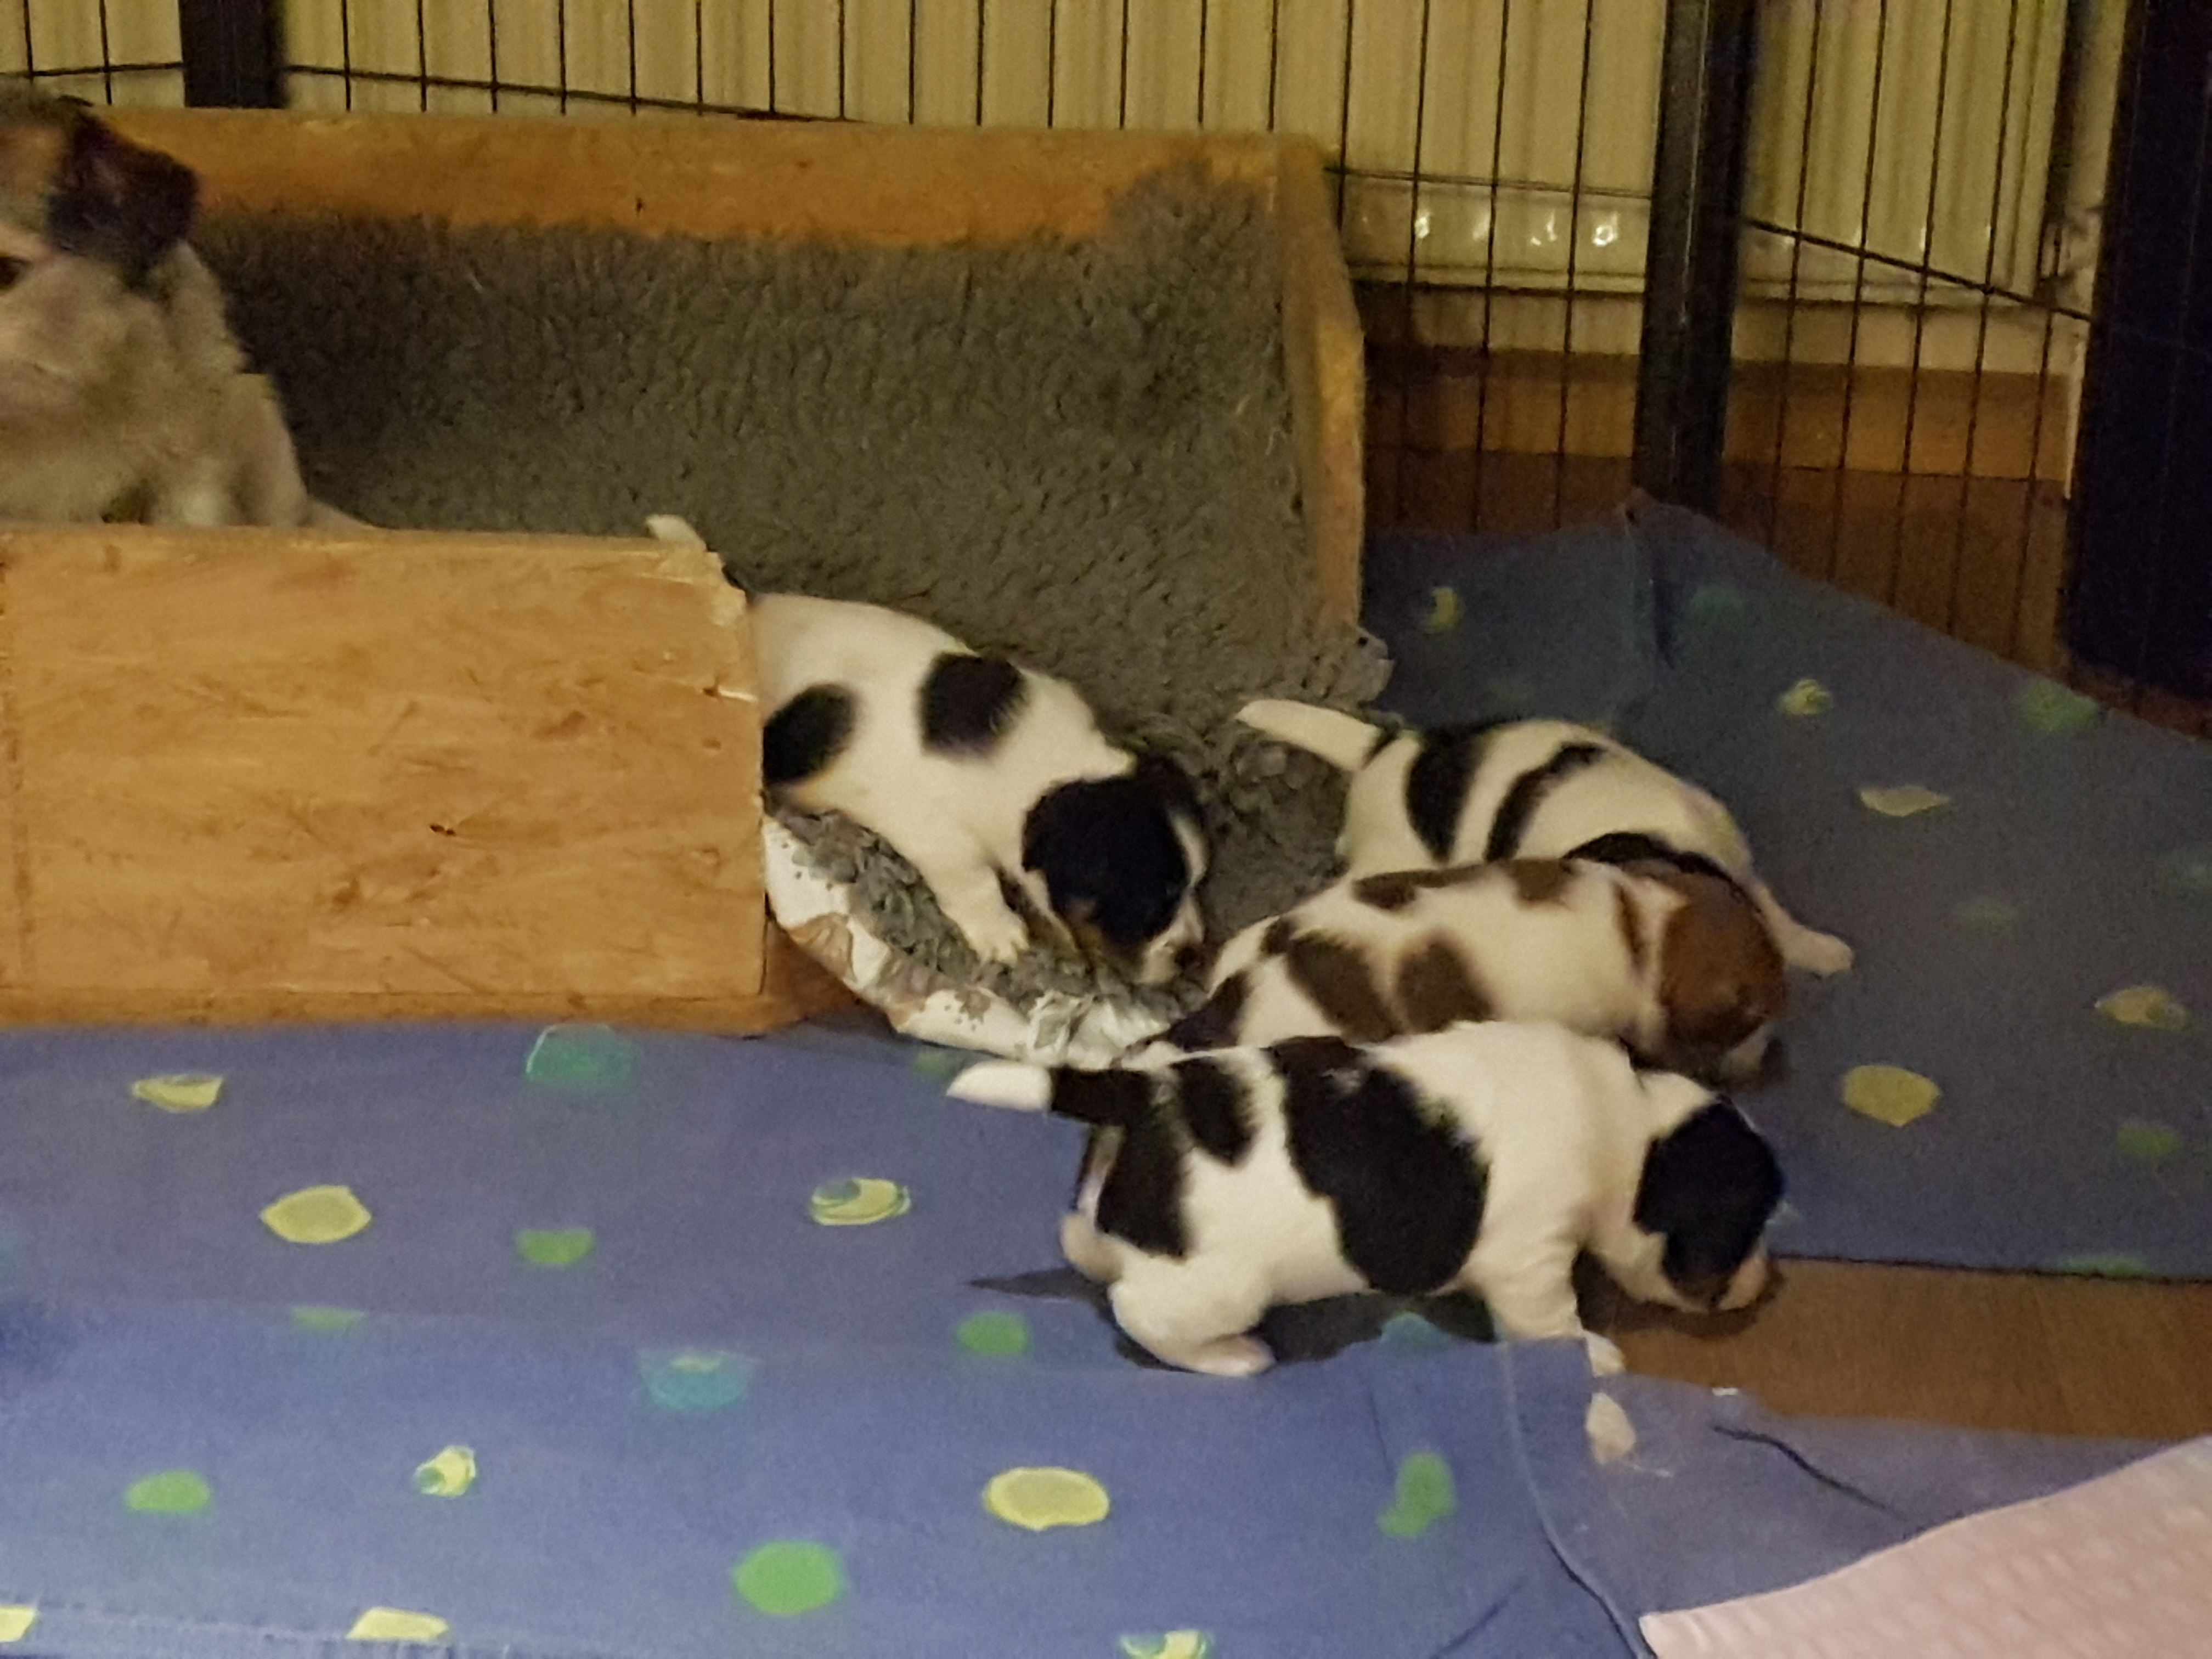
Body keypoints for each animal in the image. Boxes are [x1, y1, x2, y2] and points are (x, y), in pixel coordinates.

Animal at [721, 568, 1208, 984]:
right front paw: (1001, 932)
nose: (1194, 954)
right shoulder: (936, 834)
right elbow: (974, 878)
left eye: (1196, 884)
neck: (1046, 772)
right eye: (1152, 902)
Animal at [948, 1020, 1783, 1377]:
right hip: (1221, 1286)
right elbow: (1553, 1324)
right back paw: (1232, 1358)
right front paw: (1596, 1354)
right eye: (1745, 1230)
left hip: (1122, 1207)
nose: (1765, 1285)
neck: (1632, 1123)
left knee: (1086, 1239)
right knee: (1142, 1314)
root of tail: (1145, 1091)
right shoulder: (1532, 1263)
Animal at [1236, 700, 1853, 976]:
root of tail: (1384, 750)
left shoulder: (1734, 857)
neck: (1649, 828)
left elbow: (1769, 906)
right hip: (1391, 858)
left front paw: (1815, 947)